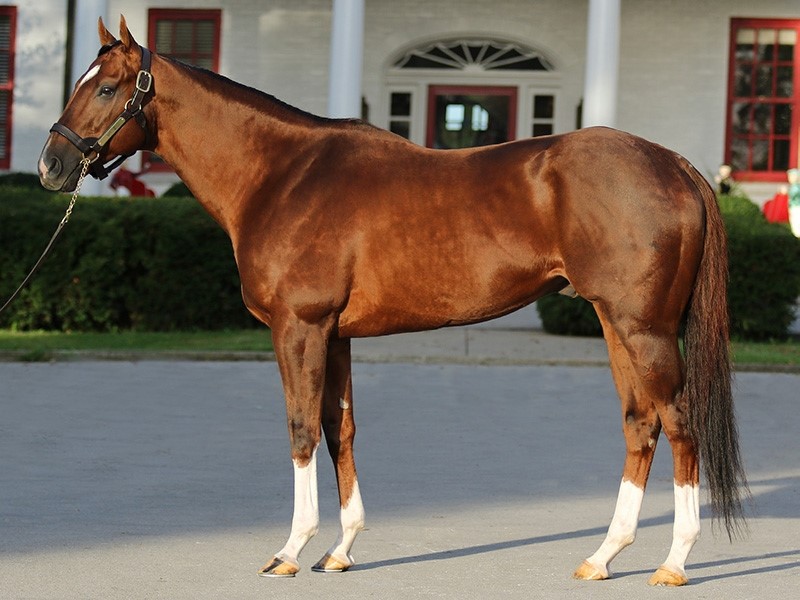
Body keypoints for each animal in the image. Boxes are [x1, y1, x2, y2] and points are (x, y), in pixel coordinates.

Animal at [38, 17, 747, 586]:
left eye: (106, 88)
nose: (50, 166)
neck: (282, 175)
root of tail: (673, 163)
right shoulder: (335, 334)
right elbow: (339, 428)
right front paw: (341, 550)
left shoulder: (299, 328)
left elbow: (301, 429)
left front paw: (291, 550)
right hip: (615, 323)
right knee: (640, 423)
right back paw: (602, 557)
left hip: (644, 328)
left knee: (679, 423)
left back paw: (674, 562)